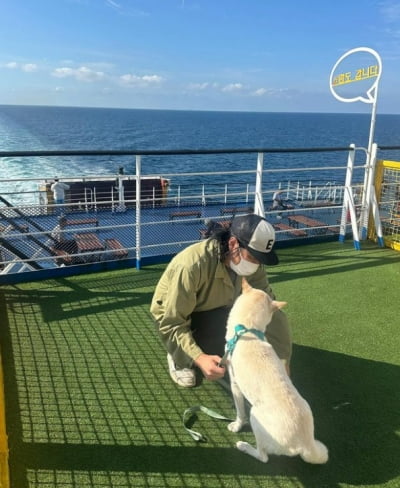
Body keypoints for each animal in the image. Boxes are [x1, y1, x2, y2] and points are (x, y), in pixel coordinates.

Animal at [225, 280, 328, 464]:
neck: (247, 330)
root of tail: (305, 442)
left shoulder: (235, 384)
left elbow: (239, 412)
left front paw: (236, 425)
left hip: (255, 415)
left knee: (263, 456)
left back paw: (244, 446)